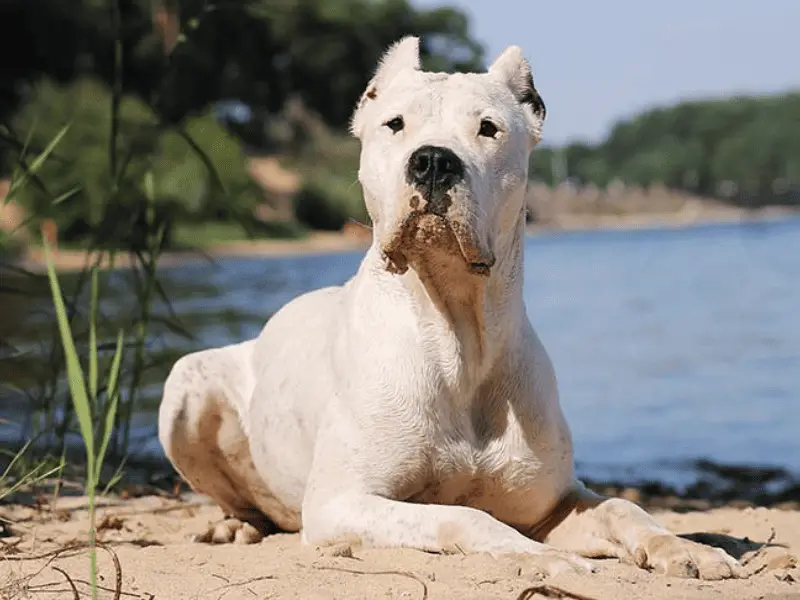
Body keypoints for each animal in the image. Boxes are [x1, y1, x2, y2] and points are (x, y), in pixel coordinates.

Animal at [158, 37, 744, 580]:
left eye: (488, 128)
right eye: (394, 124)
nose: (434, 161)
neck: (458, 333)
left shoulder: (554, 501)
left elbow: (624, 508)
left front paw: (685, 548)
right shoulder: (340, 503)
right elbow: (462, 516)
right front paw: (540, 557)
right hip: (185, 386)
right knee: (241, 498)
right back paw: (233, 525)